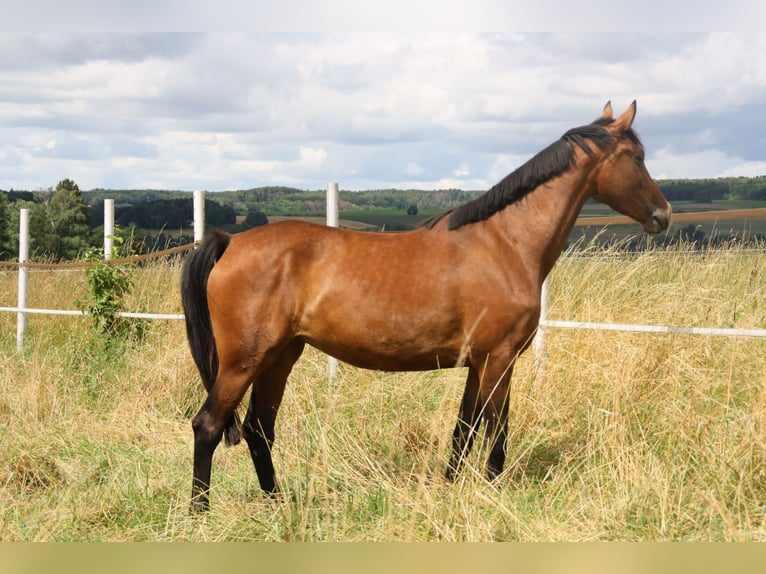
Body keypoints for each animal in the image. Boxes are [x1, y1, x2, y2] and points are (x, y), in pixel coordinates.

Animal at [182, 101, 672, 510]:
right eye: (638, 157)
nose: (663, 215)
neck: (505, 243)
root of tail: (229, 242)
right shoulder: (500, 359)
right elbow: (495, 432)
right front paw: (494, 494)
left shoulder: (478, 362)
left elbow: (464, 429)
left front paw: (448, 489)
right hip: (244, 361)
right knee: (209, 426)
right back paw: (200, 512)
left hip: (280, 357)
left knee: (258, 430)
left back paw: (278, 506)